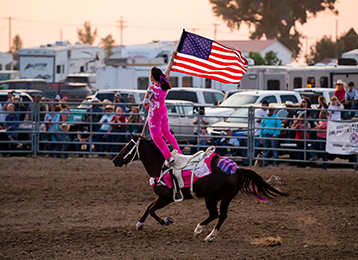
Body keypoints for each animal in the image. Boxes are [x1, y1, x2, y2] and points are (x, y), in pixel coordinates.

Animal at [113, 135, 286, 243]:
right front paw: (139, 224)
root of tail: (236, 169)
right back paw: (210, 236)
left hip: (211, 198)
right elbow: (149, 207)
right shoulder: (161, 198)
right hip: (226, 198)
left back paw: (199, 229)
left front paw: (166, 221)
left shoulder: (166, 198)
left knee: (214, 214)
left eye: (127, 146)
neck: (161, 167)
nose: (115, 160)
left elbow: (151, 210)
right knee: (222, 216)